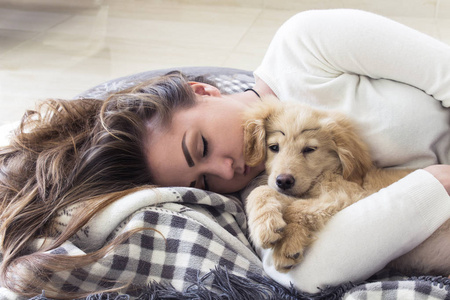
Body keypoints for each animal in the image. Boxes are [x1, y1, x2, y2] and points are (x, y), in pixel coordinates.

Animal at [244, 96, 450, 274]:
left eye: (309, 149)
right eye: (274, 147)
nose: (284, 181)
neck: (326, 174)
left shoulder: (351, 196)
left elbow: (293, 208)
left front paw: (285, 240)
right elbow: (265, 192)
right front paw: (269, 226)